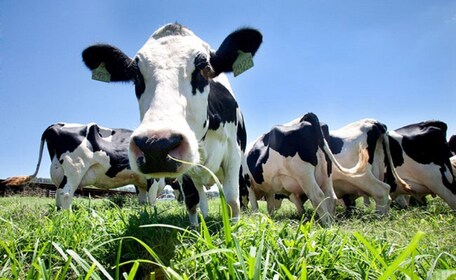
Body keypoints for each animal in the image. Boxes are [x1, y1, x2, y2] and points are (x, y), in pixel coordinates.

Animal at [4, 122, 166, 208]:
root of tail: (55, 125)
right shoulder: (154, 178)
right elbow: (152, 200)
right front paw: (152, 216)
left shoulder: (140, 182)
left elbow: (143, 200)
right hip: (75, 168)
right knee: (65, 193)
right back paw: (67, 218)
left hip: (58, 170)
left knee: (58, 193)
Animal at [81, 23, 264, 225]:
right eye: (136, 75)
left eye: (203, 67)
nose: (156, 147)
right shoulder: (185, 171)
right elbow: (191, 200)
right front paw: (195, 228)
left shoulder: (233, 155)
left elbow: (232, 200)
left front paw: (233, 229)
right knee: (202, 198)